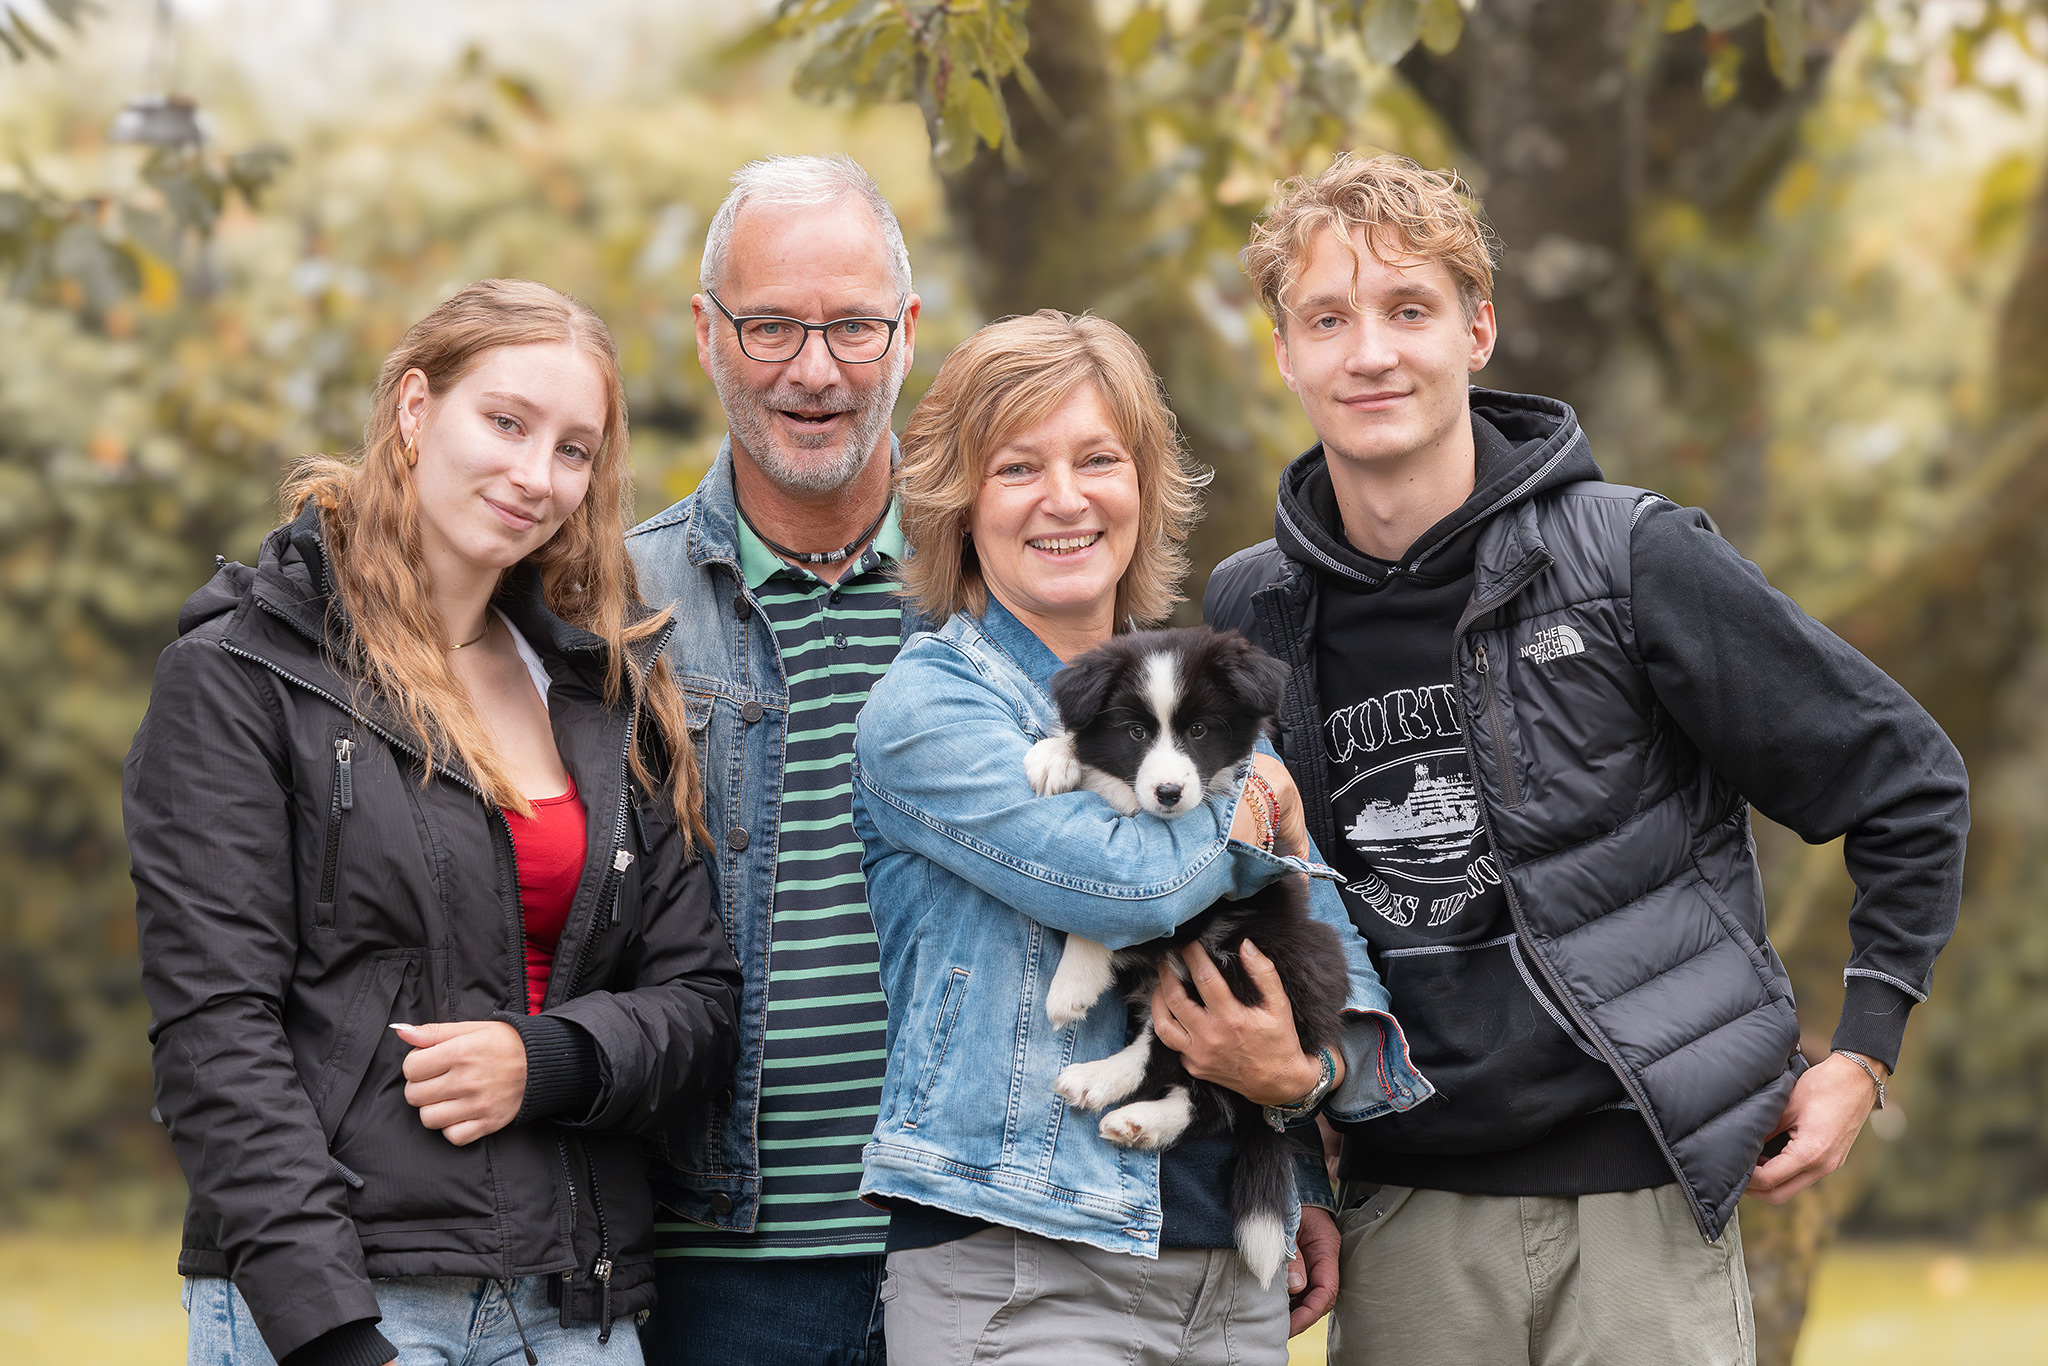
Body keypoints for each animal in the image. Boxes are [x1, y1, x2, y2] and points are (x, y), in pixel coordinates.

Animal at [1019, 626, 1343, 1286]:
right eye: (1136, 733)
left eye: (1199, 730)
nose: (1169, 793)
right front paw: (1055, 755)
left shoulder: (1192, 906)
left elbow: (1109, 913)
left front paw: (1071, 987)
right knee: (1207, 1096)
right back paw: (1138, 1120)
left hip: (1251, 956)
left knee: (1185, 1067)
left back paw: (1100, 1083)